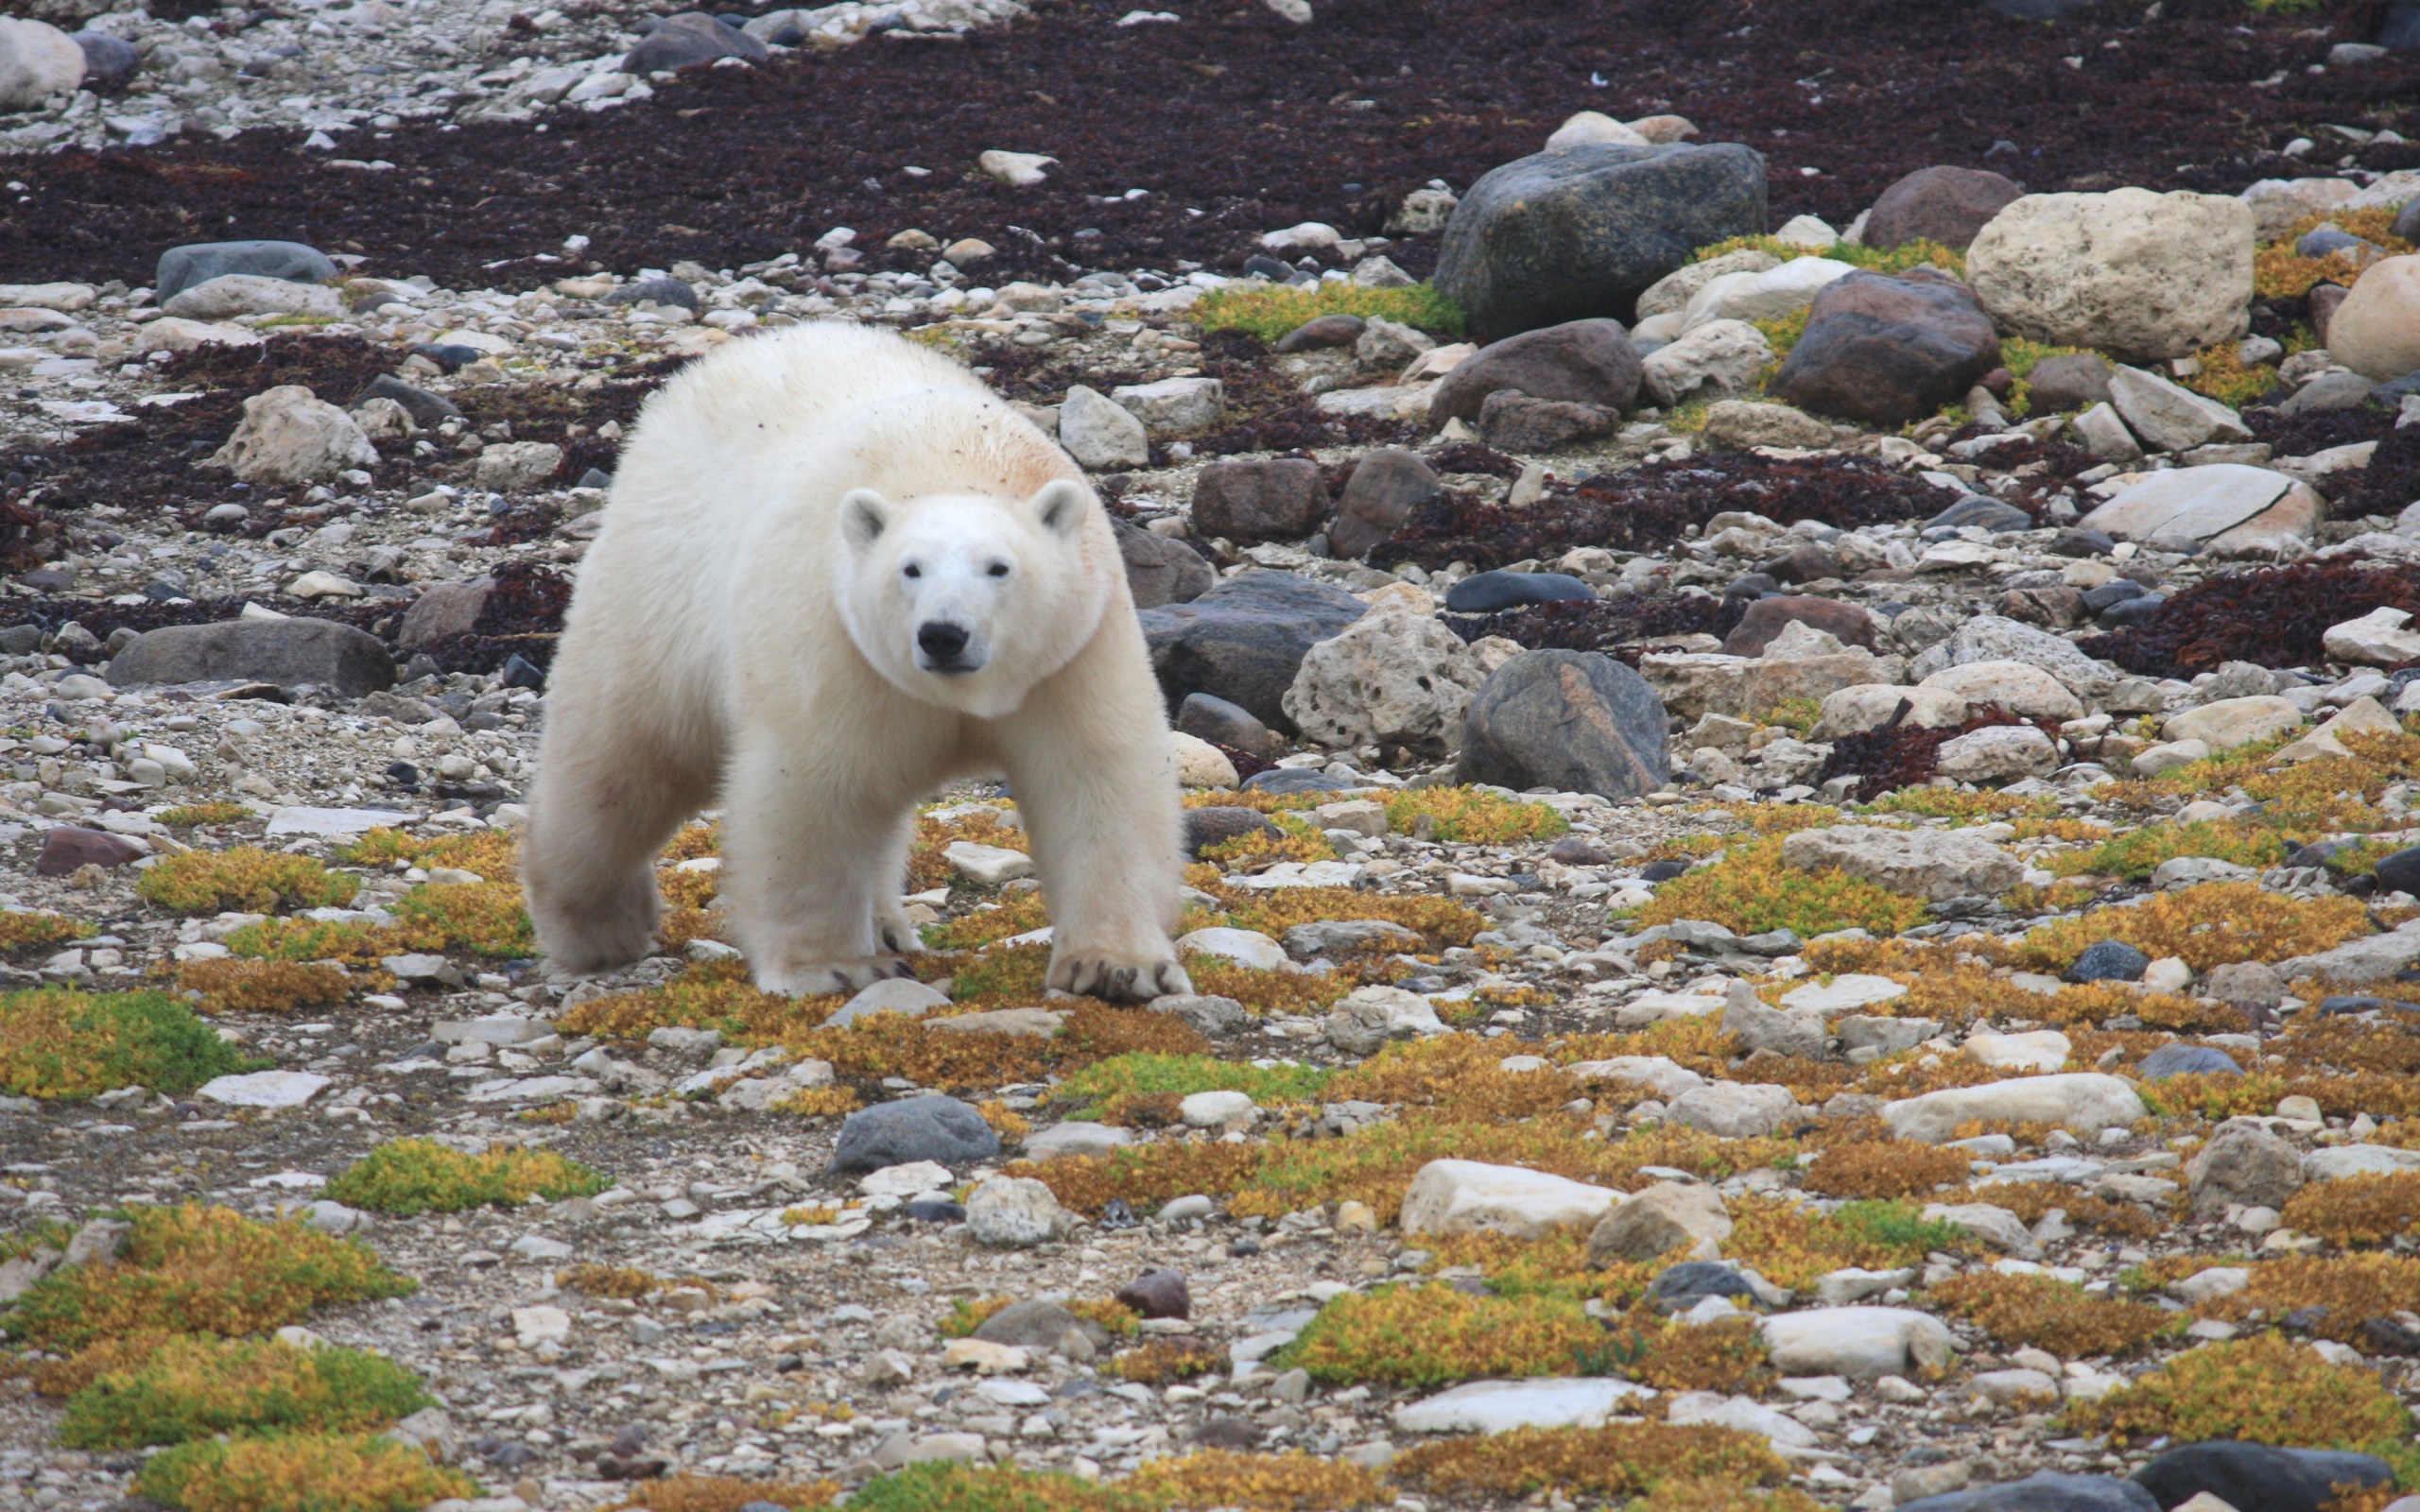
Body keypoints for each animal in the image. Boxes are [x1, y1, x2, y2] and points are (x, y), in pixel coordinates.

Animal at [523, 322, 1194, 1003]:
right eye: (911, 568)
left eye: (999, 567)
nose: (943, 635)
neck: (956, 458)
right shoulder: (834, 644)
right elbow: (815, 791)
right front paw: (833, 965)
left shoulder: (1074, 653)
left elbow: (1096, 780)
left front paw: (1116, 966)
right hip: (658, 595)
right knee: (616, 765)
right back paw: (600, 928)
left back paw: (887, 924)